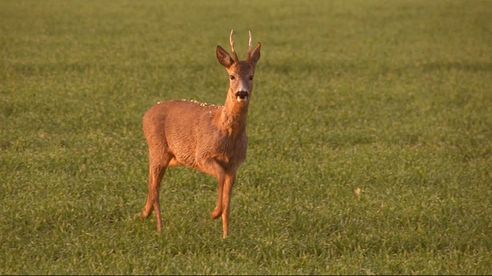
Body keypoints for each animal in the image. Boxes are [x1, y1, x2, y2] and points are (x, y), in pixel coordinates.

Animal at [139, 29, 262, 238]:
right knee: (155, 187)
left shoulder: (235, 164)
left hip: (167, 156)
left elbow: (229, 198)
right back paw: (159, 229)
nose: (242, 93)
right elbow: (220, 176)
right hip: (158, 149)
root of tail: (146, 114)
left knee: (152, 184)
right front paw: (214, 213)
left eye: (251, 76)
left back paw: (143, 215)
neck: (227, 132)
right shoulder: (202, 155)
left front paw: (226, 236)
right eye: (232, 76)